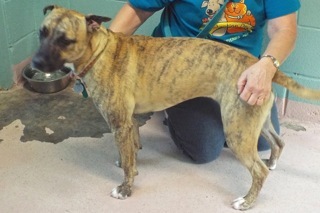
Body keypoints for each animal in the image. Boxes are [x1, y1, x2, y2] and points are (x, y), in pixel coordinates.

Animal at [31, 5, 320, 210]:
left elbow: (128, 165)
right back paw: (272, 162)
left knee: (258, 171)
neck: (100, 52)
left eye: (65, 40)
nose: (35, 63)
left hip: (237, 130)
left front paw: (125, 189)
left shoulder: (120, 124)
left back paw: (246, 201)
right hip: (256, 122)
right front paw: (128, 164)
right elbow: (131, 154)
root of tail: (261, 66)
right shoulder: (129, 122)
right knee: (278, 142)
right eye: (42, 32)